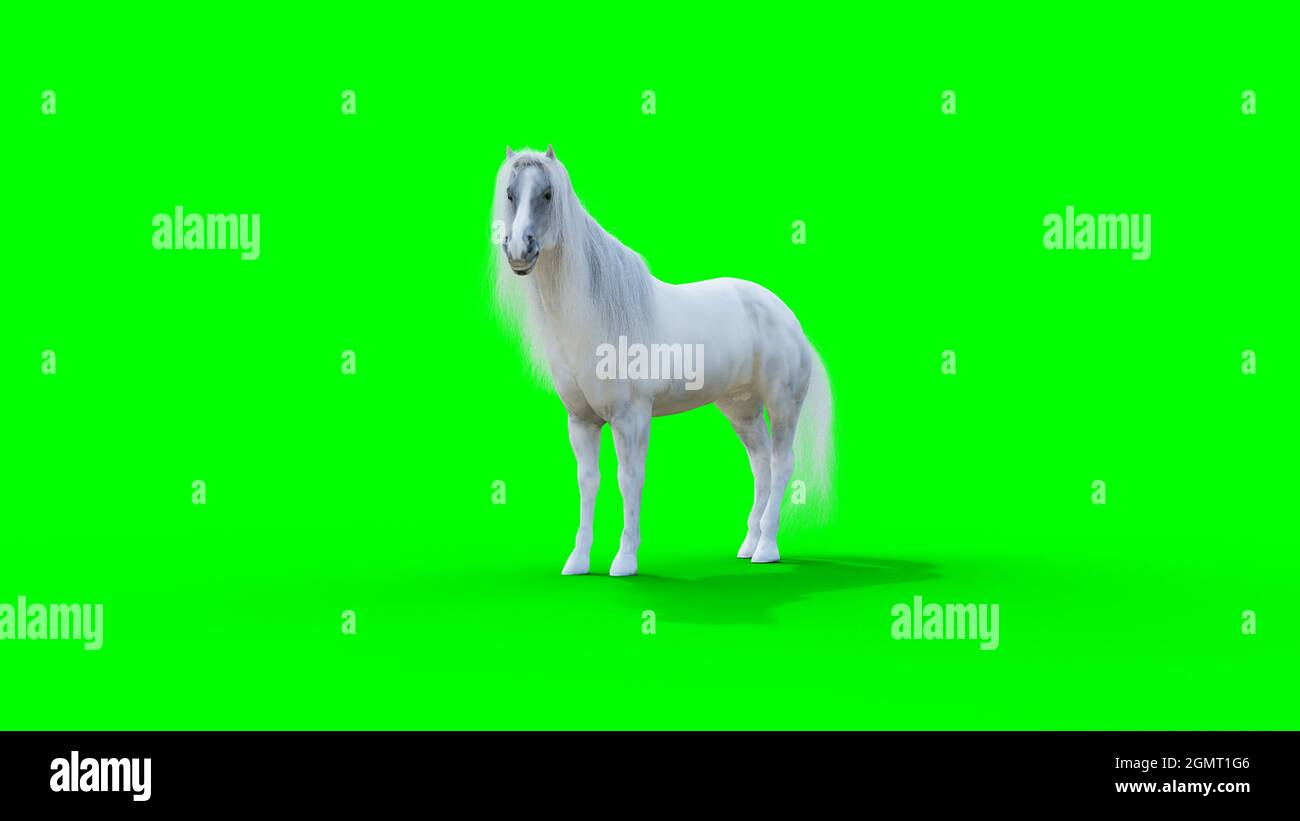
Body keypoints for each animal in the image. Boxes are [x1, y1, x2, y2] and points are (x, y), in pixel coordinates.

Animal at [491, 145, 832, 576]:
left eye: (548, 194)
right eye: (510, 193)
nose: (519, 251)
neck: (599, 319)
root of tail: (789, 319)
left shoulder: (631, 417)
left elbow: (629, 479)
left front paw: (624, 561)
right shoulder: (581, 421)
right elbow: (588, 482)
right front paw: (578, 561)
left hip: (783, 404)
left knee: (782, 464)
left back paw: (767, 549)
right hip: (742, 409)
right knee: (761, 465)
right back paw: (748, 544)